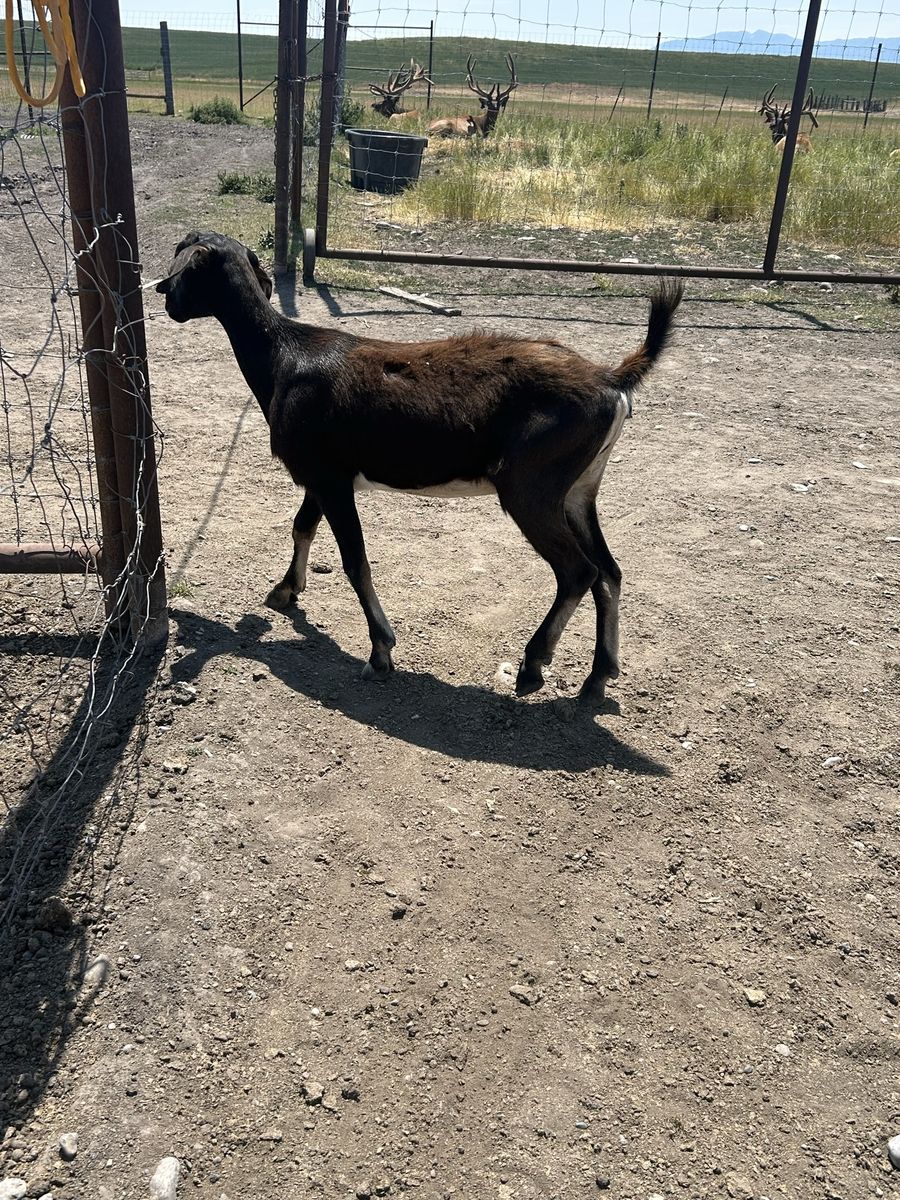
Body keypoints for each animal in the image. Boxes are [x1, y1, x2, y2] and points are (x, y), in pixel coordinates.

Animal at [156, 232, 682, 702]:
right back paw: (598, 676)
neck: (286, 356)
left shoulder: (330, 477)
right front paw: (286, 591)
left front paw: (380, 652)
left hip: (531, 485)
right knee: (610, 571)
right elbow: (302, 525)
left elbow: (355, 561)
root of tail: (611, 380)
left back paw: (533, 666)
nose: (166, 302)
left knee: (578, 571)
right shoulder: (321, 475)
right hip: (579, 488)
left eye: (186, 268)